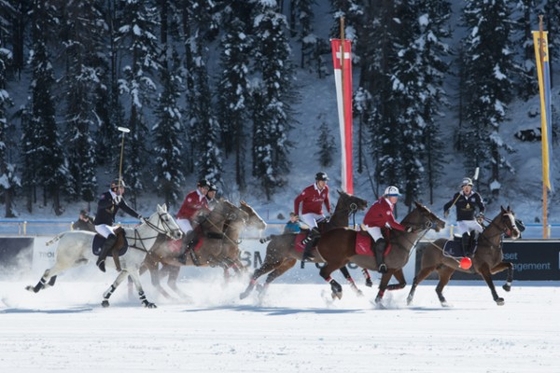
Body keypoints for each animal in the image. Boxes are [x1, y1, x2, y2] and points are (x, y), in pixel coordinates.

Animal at [25, 205, 183, 306]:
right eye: (167, 219)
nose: (179, 234)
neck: (140, 240)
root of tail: (66, 233)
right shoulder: (133, 269)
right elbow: (139, 286)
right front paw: (147, 303)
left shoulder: (126, 270)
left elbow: (116, 284)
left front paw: (105, 299)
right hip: (66, 261)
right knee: (47, 272)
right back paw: (35, 288)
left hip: (75, 262)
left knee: (53, 274)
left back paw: (42, 287)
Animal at [137, 199, 266, 298]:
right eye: (250, 211)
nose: (264, 224)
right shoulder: (212, 259)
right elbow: (232, 269)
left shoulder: (231, 258)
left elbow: (242, 269)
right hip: (152, 262)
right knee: (156, 282)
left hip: (170, 264)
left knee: (169, 282)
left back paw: (186, 298)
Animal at [238, 189, 370, 300]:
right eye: (350, 197)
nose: (365, 202)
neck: (336, 228)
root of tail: (275, 237)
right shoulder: (336, 259)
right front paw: (338, 291)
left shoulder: (340, 259)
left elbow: (348, 275)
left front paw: (360, 290)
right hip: (274, 260)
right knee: (257, 272)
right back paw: (245, 294)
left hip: (287, 263)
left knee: (270, 276)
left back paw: (261, 297)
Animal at [316, 202, 446, 304]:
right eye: (426, 213)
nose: (443, 223)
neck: (401, 239)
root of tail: (322, 236)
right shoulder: (388, 270)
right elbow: (382, 288)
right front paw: (379, 302)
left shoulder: (396, 268)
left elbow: (402, 284)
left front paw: (388, 288)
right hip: (336, 261)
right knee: (323, 272)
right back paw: (338, 290)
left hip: (342, 260)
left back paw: (338, 291)